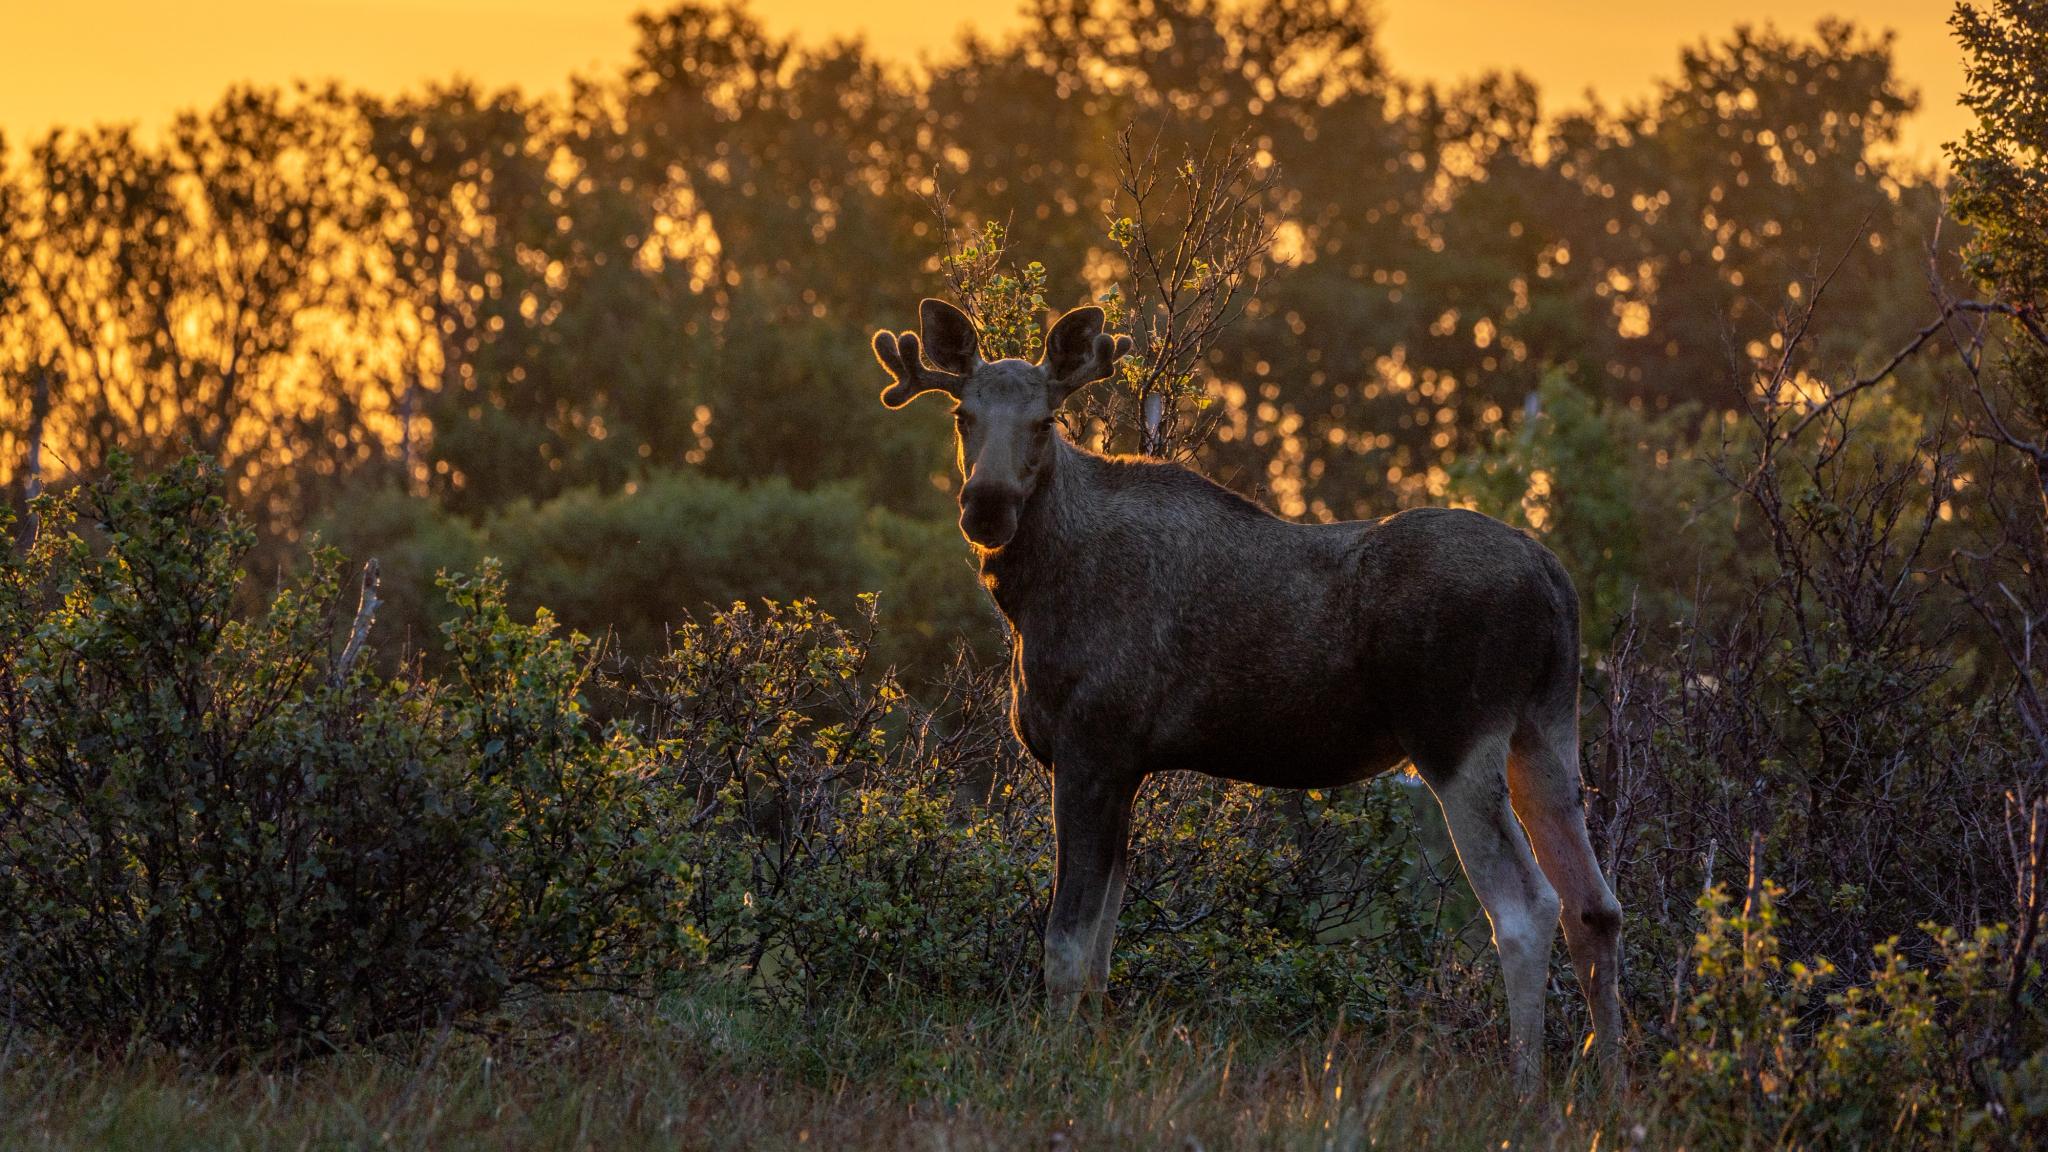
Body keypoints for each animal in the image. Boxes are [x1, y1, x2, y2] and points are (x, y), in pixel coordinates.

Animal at [871, 298, 1626, 1091]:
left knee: (1527, 908)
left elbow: (1066, 943)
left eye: (1046, 421)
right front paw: (1093, 1051)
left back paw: (1526, 1086)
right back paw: (1610, 1080)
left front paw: (1052, 1062)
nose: (985, 506)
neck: (1034, 594)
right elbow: (1105, 945)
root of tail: (1553, 578)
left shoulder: (1091, 747)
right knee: (1595, 905)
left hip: (1456, 737)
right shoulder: (1126, 765)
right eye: (963, 415)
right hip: (1545, 730)